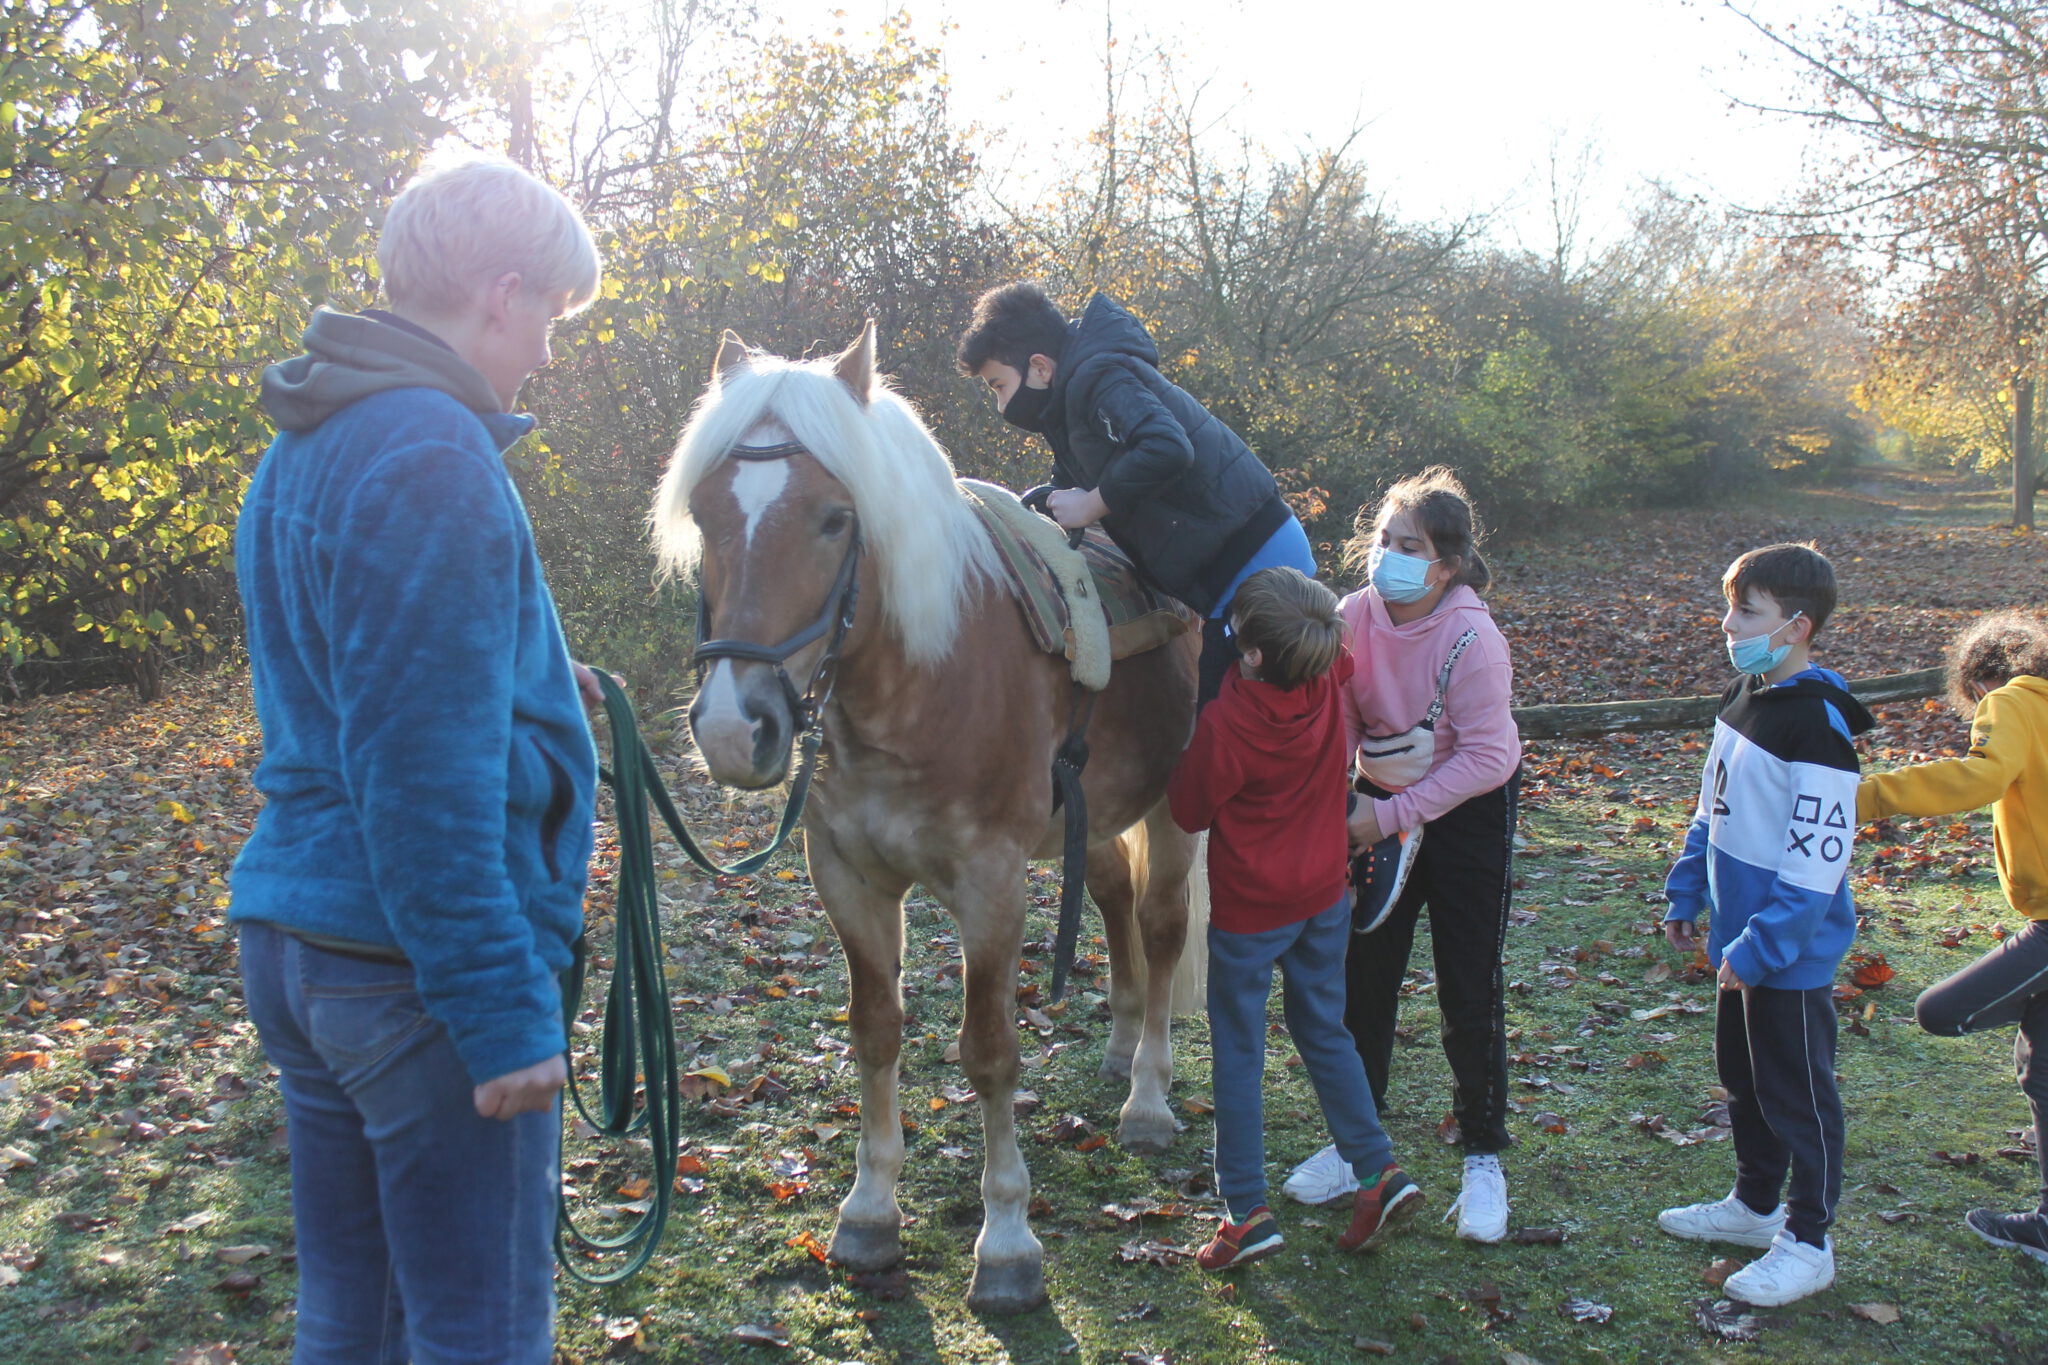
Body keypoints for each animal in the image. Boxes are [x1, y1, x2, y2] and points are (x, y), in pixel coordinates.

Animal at [655, 323, 1196, 1309]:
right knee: (1112, 900)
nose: (732, 728)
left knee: (1164, 924)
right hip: (1096, 818)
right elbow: (875, 1031)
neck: (922, 678)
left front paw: (1009, 1242)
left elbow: (989, 1050)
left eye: (836, 518)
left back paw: (1147, 1096)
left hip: (1178, 808)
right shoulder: (849, 878)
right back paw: (1120, 1042)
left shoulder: (991, 885)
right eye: (707, 517)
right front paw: (868, 1212)